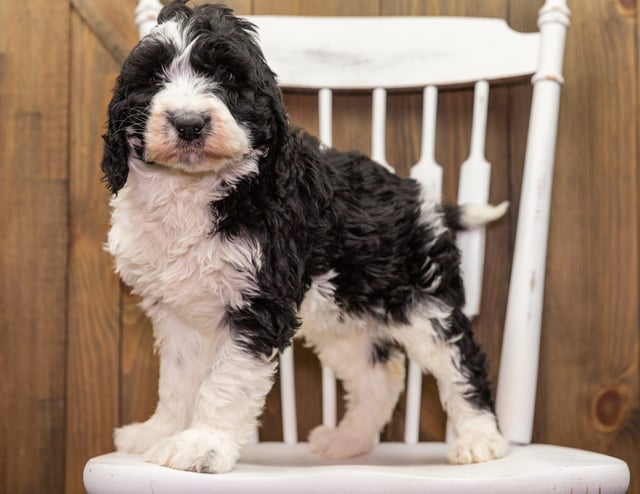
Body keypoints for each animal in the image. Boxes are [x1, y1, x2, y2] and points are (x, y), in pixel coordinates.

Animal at [102, 0, 508, 474]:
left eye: (231, 78)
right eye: (153, 78)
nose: (189, 124)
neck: (195, 191)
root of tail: (422, 198)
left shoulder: (259, 304)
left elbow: (225, 382)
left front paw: (203, 445)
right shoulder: (176, 311)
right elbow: (177, 380)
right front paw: (159, 432)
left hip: (423, 302)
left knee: (460, 362)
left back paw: (481, 441)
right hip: (341, 314)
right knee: (380, 375)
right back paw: (349, 442)